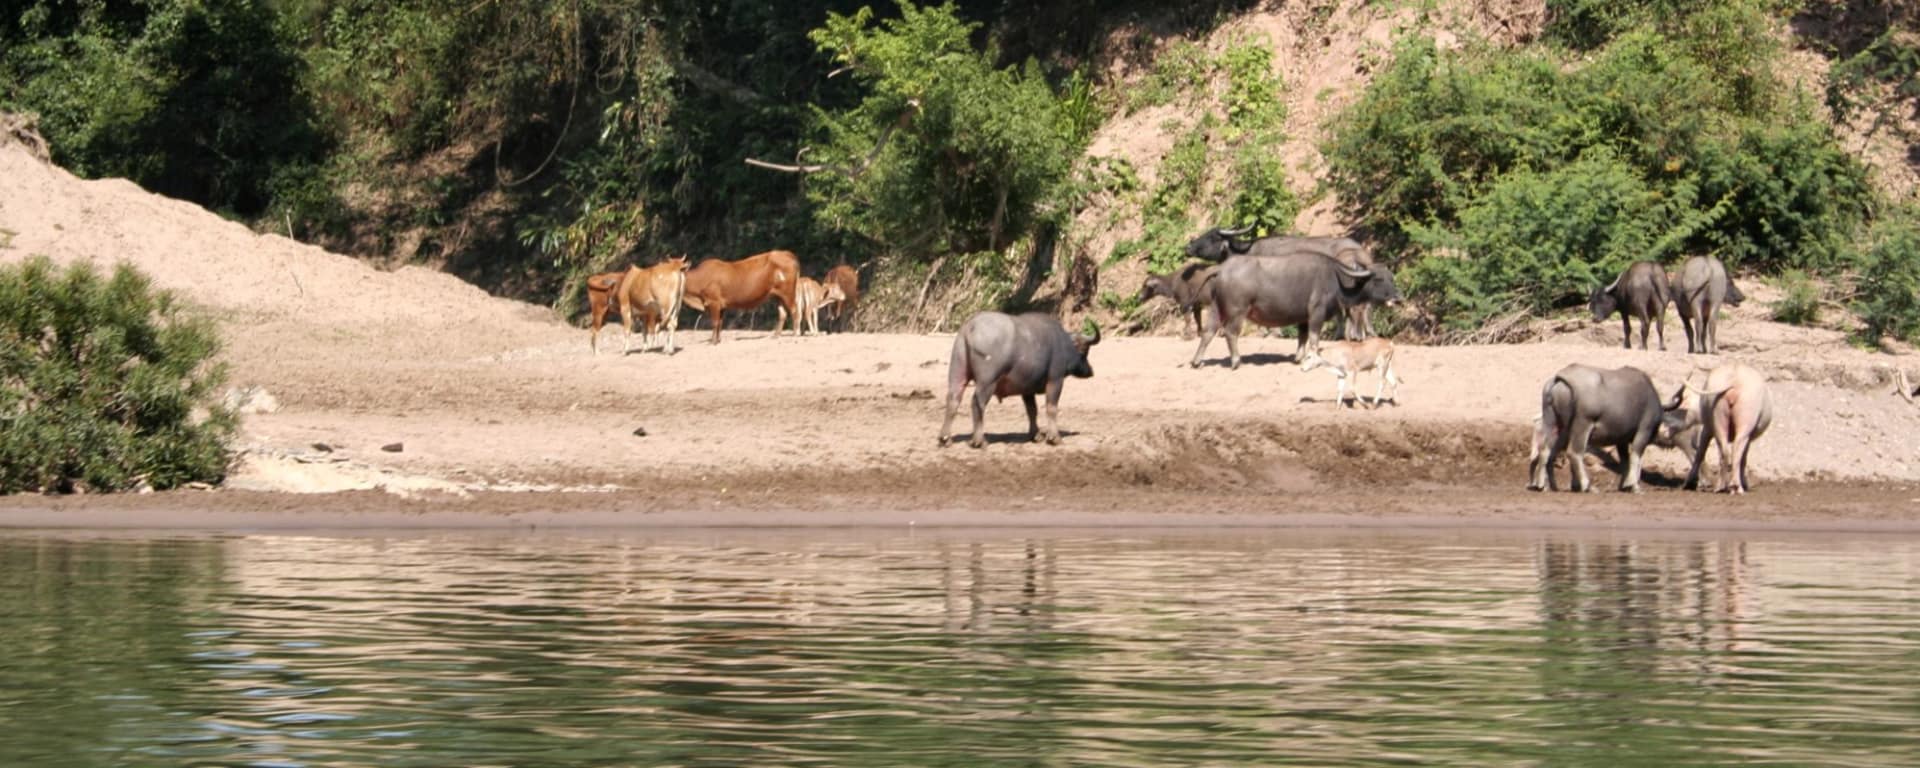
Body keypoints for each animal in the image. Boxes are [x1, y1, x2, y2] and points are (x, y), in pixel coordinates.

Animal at [940, 309, 1105, 447]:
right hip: (987, 382)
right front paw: (1054, 437)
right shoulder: (1055, 380)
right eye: (1085, 350)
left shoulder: (1027, 389)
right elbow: (1051, 408)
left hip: (957, 372)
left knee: (953, 399)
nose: (1090, 371)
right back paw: (979, 440)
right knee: (977, 403)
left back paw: (945, 438)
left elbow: (1032, 410)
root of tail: (970, 327)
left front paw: (1035, 435)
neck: (1062, 344)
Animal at [1190, 251, 1405, 368]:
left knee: (1208, 332)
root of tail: (1222, 269)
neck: (1336, 280)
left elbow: (1302, 337)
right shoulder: (1316, 313)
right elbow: (1314, 337)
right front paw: (1312, 358)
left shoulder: (1303, 317)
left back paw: (1196, 361)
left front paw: (1299, 358)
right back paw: (1236, 361)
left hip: (1215, 308)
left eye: (1391, 277)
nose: (1398, 298)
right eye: (1378, 279)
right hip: (1237, 311)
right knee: (1230, 333)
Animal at [1528, 364, 1666, 491]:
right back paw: (1587, 485)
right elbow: (1635, 457)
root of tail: (1560, 378)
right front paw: (1633, 485)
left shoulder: (1621, 440)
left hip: (1556, 425)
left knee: (1546, 451)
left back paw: (1546, 485)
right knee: (1574, 453)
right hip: (1582, 425)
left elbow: (1625, 460)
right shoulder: (1644, 430)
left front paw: (1624, 485)